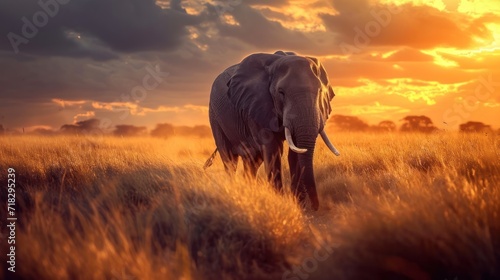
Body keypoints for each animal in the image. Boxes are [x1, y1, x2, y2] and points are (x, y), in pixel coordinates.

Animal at [203, 50, 340, 210]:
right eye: (281, 92)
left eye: (320, 91)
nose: (315, 207)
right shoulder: (257, 106)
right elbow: (272, 149)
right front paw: (281, 203)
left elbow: (296, 153)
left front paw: (298, 206)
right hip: (214, 116)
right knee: (229, 159)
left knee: (252, 161)